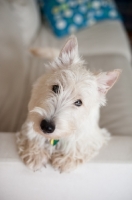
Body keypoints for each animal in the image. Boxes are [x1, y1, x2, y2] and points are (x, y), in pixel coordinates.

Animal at [16, 34, 121, 172]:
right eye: (56, 88)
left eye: (78, 102)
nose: (46, 126)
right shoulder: (31, 119)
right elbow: (32, 134)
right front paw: (35, 154)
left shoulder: (93, 134)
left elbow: (79, 143)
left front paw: (65, 159)